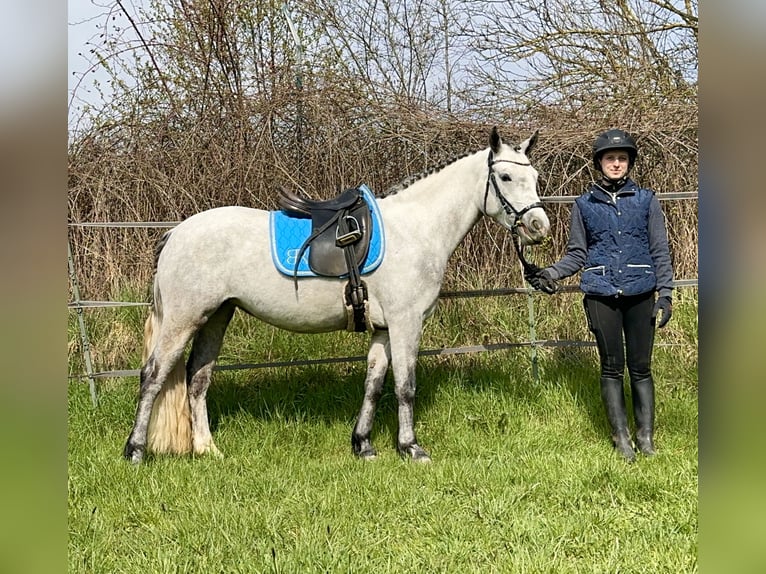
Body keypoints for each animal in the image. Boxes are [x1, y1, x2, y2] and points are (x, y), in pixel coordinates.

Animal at [123, 126, 548, 464]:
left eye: (535, 176)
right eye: (505, 176)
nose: (538, 226)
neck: (415, 229)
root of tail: (175, 234)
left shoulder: (383, 329)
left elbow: (374, 385)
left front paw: (363, 445)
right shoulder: (405, 323)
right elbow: (405, 386)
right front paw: (411, 448)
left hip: (216, 316)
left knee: (198, 378)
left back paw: (207, 449)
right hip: (183, 319)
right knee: (154, 375)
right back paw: (136, 451)